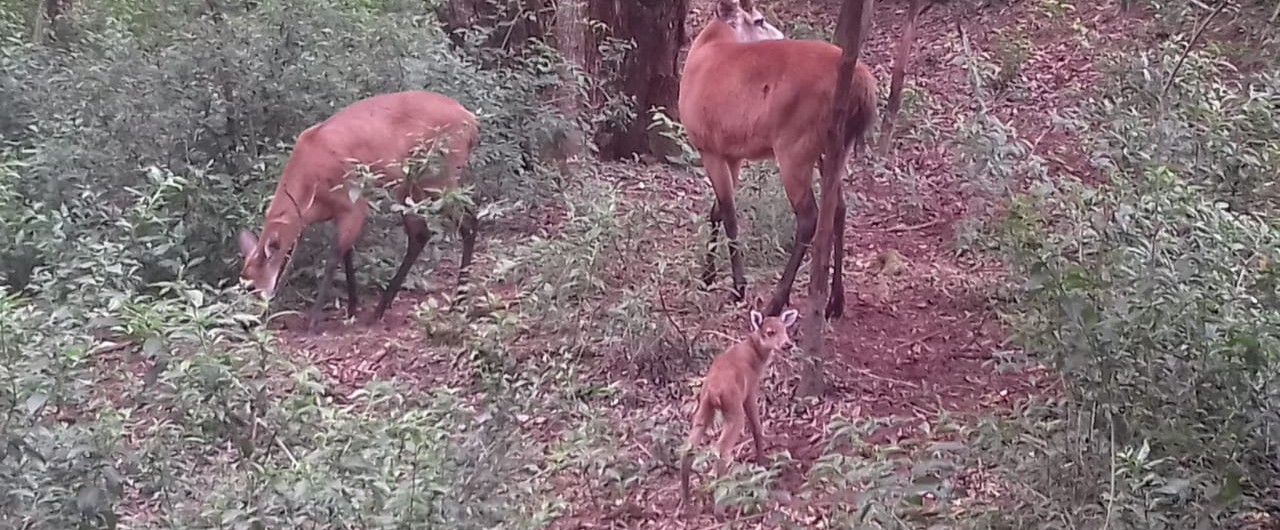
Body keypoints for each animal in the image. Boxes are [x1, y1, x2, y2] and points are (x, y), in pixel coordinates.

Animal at [236, 90, 481, 333]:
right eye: (242, 281)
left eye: (251, 286)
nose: (247, 322)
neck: (309, 192)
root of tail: (471, 120)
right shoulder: (337, 211)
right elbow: (347, 254)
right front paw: (352, 308)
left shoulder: (354, 202)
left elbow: (334, 256)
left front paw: (314, 320)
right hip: (410, 186)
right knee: (420, 234)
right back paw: (380, 309)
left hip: (438, 177)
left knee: (468, 221)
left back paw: (457, 303)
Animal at [678, 0, 879, 319]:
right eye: (759, 21)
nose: (780, 34)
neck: (706, 51)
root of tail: (863, 87)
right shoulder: (730, 152)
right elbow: (717, 211)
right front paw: (707, 276)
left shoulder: (708, 147)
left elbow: (729, 214)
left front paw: (738, 286)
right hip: (835, 146)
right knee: (837, 208)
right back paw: (835, 301)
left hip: (794, 145)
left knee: (809, 217)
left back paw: (777, 300)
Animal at [679, 307, 798, 515]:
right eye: (770, 332)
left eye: (785, 329)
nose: (787, 344)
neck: (755, 355)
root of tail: (714, 392)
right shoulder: (750, 391)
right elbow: (757, 427)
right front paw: (762, 462)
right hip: (733, 410)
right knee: (721, 449)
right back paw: (720, 506)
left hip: (704, 408)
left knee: (689, 447)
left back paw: (687, 502)